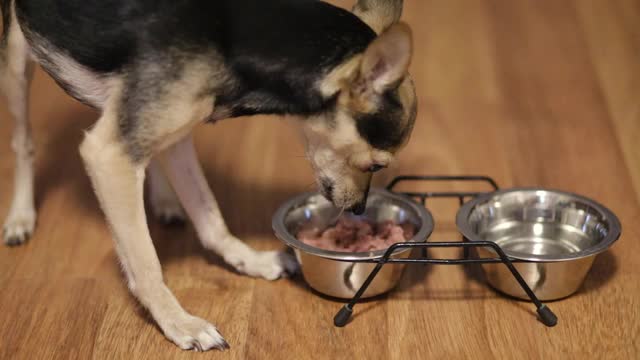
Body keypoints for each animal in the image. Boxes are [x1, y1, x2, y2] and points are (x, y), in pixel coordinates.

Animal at [0, 0, 418, 350]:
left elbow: (211, 220)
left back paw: (163, 199)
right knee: (23, 143)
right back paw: (21, 217)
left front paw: (249, 261)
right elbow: (146, 263)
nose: (359, 209)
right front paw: (179, 323)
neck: (234, 44)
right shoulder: (107, 156)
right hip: (17, 59)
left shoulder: (176, 132)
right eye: (377, 166)